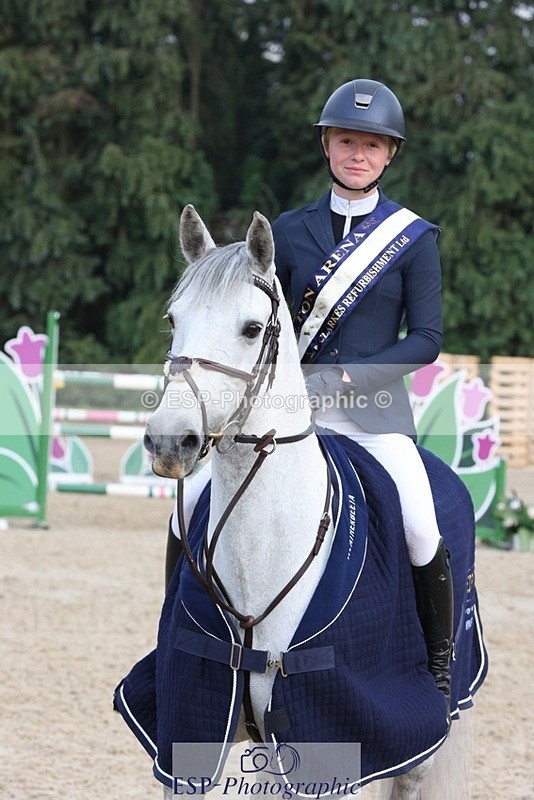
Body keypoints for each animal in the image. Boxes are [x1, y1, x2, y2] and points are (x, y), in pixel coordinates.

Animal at [114, 206, 487, 800]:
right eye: (174, 321)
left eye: (251, 329)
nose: (170, 442)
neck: (260, 555)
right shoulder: (193, 728)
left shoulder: (335, 738)